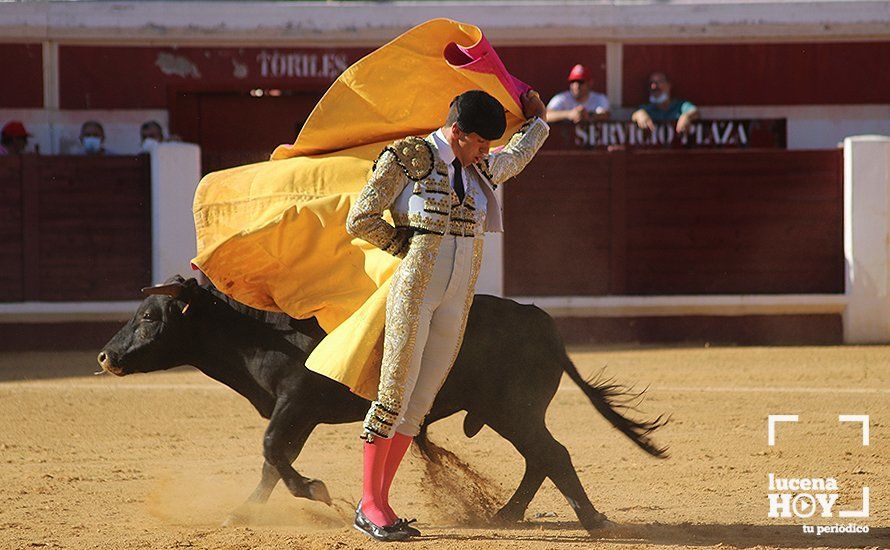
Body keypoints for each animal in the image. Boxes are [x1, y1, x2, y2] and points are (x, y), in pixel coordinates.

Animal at [99, 278, 664, 532]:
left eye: (149, 316)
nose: (106, 356)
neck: (261, 333)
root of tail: (542, 322)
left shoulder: (296, 402)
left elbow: (273, 450)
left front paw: (316, 490)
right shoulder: (299, 412)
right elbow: (272, 461)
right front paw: (244, 511)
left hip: (514, 409)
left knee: (552, 454)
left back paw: (590, 520)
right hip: (512, 413)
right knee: (540, 458)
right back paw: (506, 514)